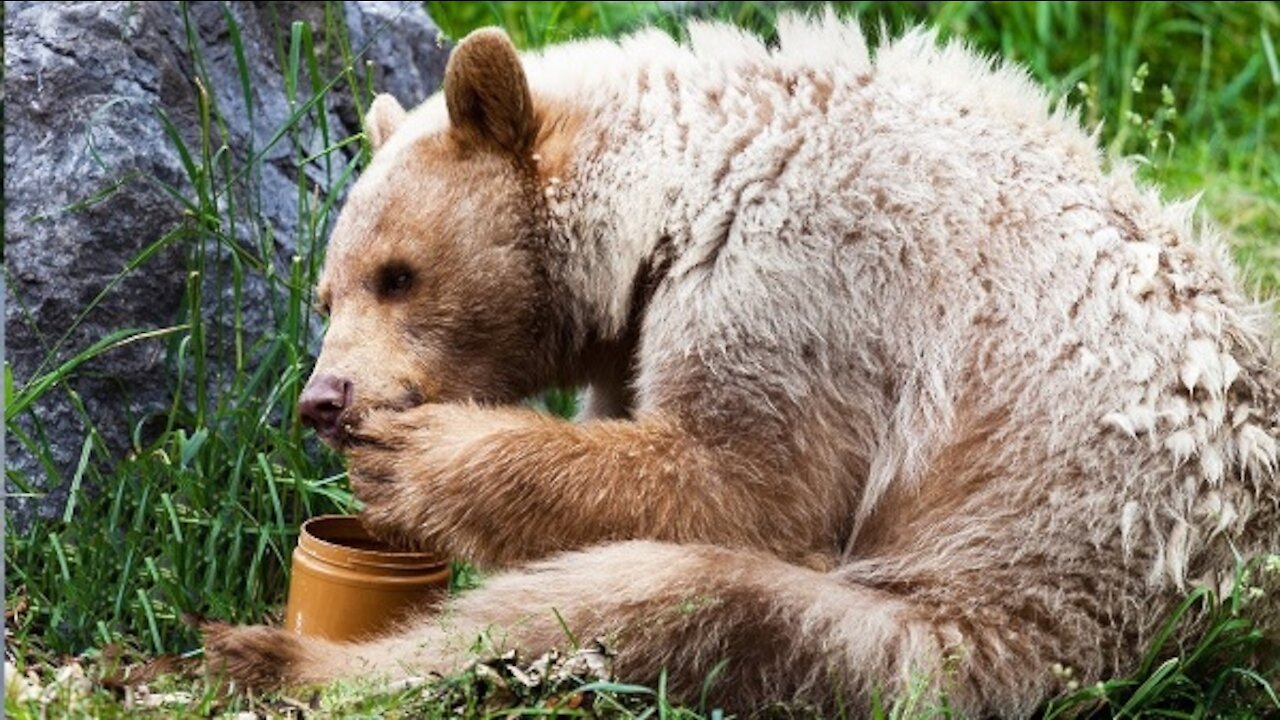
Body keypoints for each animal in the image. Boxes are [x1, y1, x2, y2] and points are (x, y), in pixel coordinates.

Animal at [207, 15, 1280, 712]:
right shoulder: (643, 334)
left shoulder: (807, 278)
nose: (326, 399)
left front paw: (418, 458)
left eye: (398, 274)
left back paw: (281, 658)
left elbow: (743, 481)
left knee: (670, 605)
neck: (679, 194)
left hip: (1010, 603)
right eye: (324, 295)